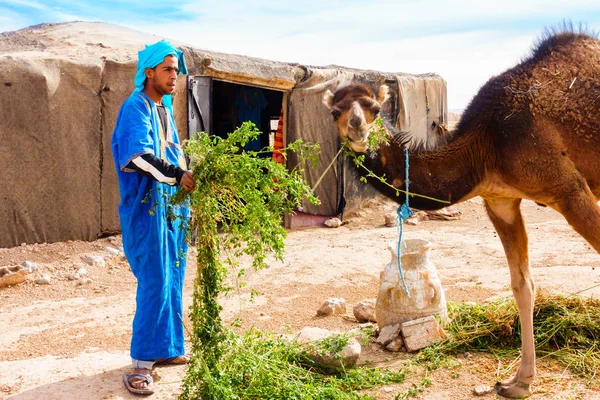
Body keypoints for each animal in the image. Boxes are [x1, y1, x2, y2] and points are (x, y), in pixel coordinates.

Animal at [324, 29, 600, 398]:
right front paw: (519, 382)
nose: (356, 126)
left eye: (374, 108)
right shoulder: (500, 200)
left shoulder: (569, 190)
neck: (486, 145)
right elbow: (522, 285)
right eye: (335, 111)